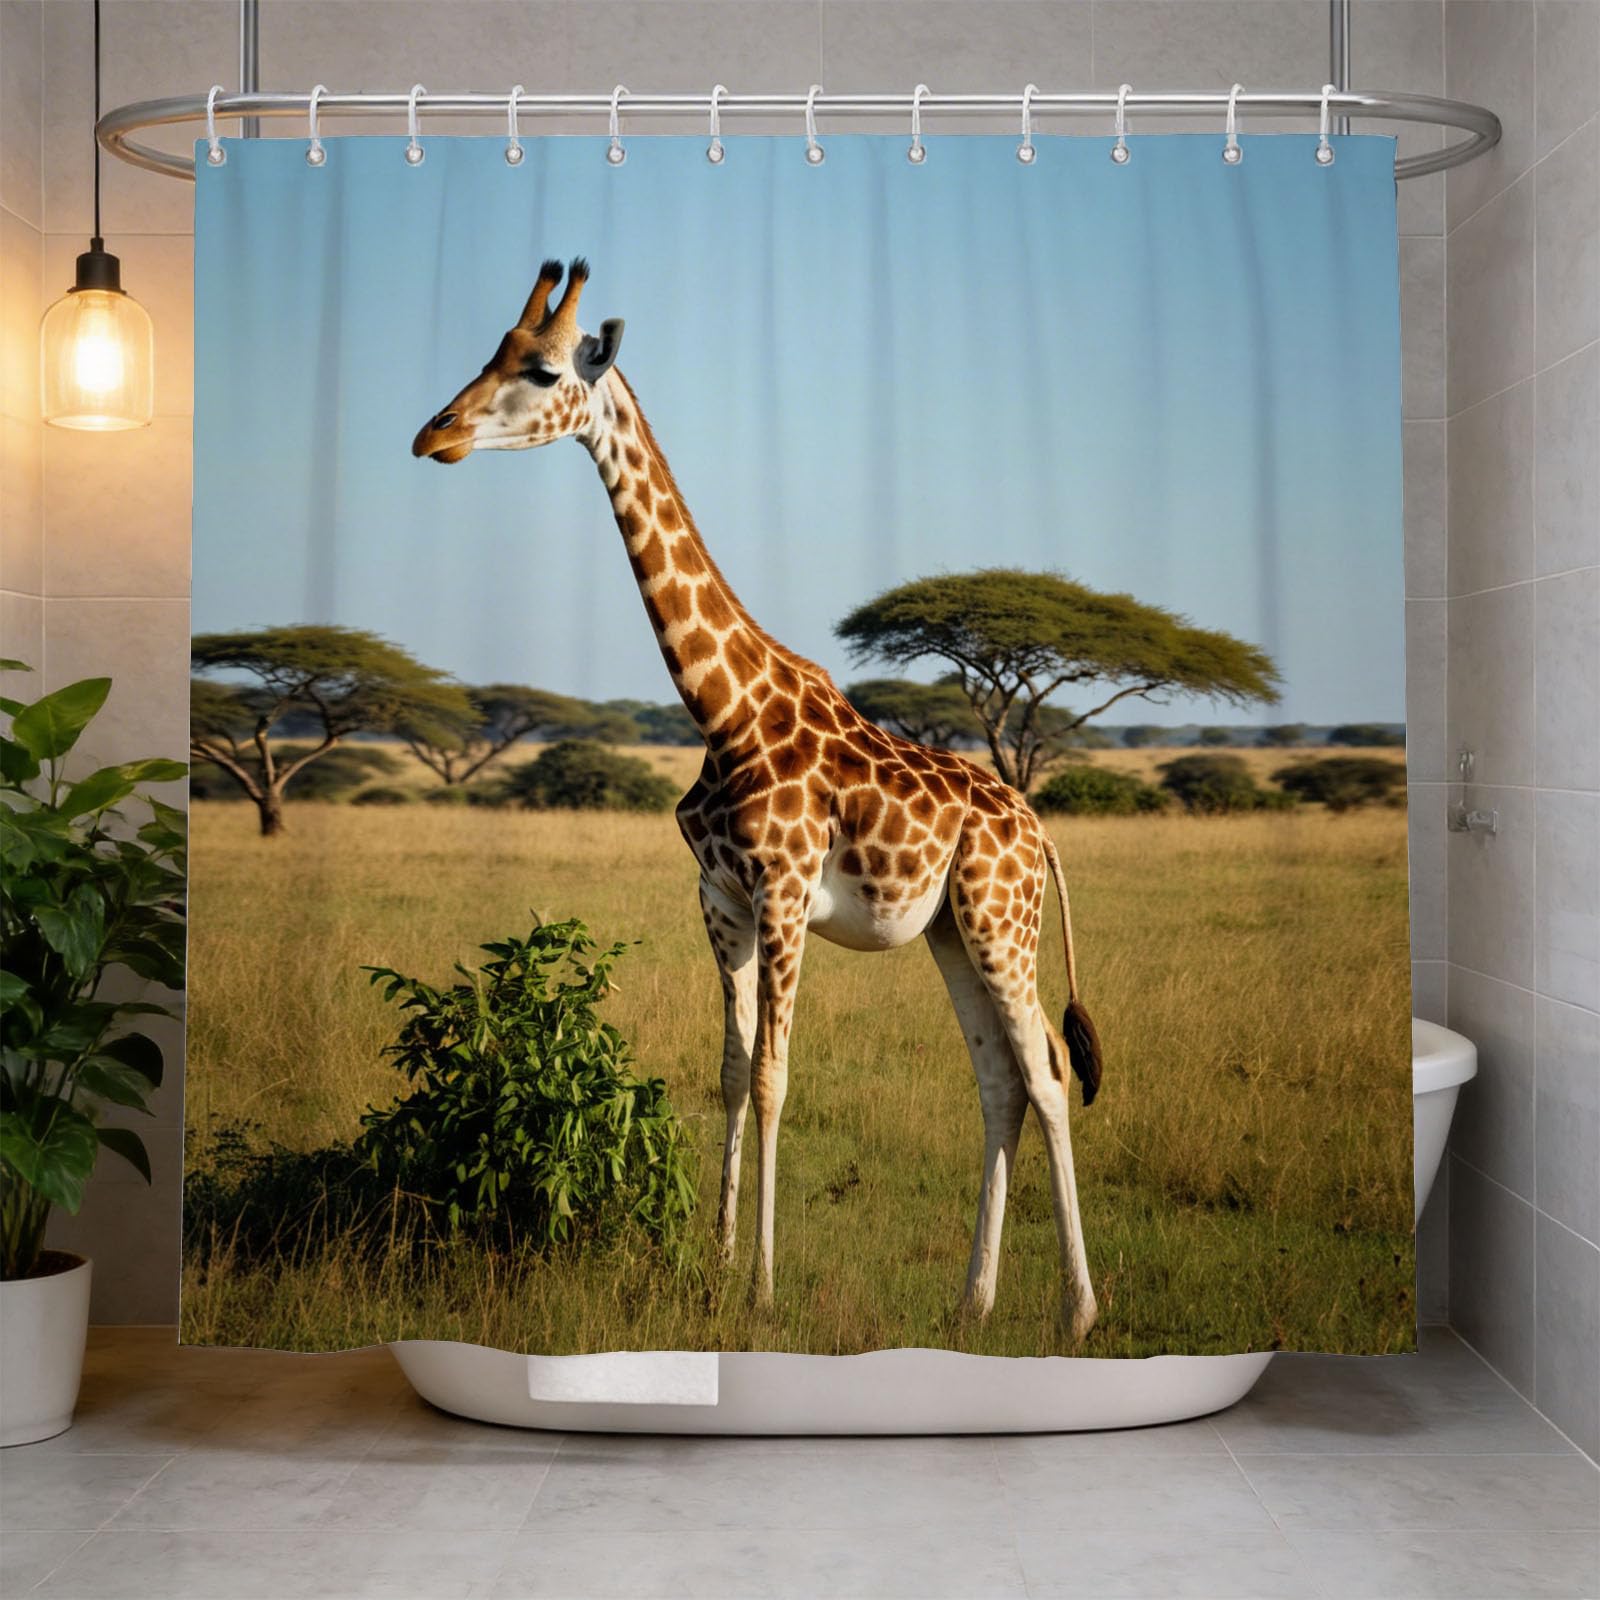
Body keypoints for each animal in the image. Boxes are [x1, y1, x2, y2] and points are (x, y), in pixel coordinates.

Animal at [413, 260, 1104, 1341]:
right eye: (492, 352)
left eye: (540, 368)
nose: (432, 433)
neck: (724, 706)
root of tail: (1037, 831)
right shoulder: (720, 899)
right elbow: (734, 1071)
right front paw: (716, 1258)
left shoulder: (783, 893)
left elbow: (778, 1078)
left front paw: (764, 1288)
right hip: (953, 929)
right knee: (998, 1080)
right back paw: (972, 1301)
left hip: (1002, 917)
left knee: (1045, 1072)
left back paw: (1076, 1312)